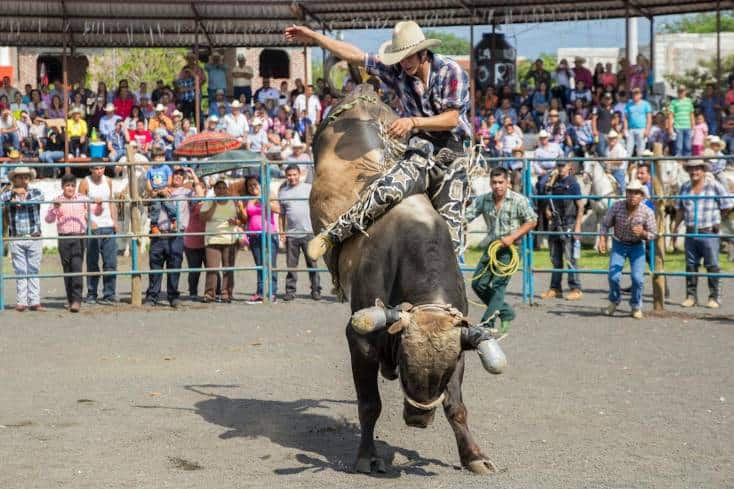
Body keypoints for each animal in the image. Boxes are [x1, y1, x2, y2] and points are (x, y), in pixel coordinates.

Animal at [310, 86, 506, 474]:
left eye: (443, 376)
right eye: (404, 365)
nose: (418, 420)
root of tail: (363, 92)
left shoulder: (459, 342)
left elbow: (456, 407)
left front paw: (473, 456)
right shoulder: (360, 339)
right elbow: (369, 404)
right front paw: (367, 457)